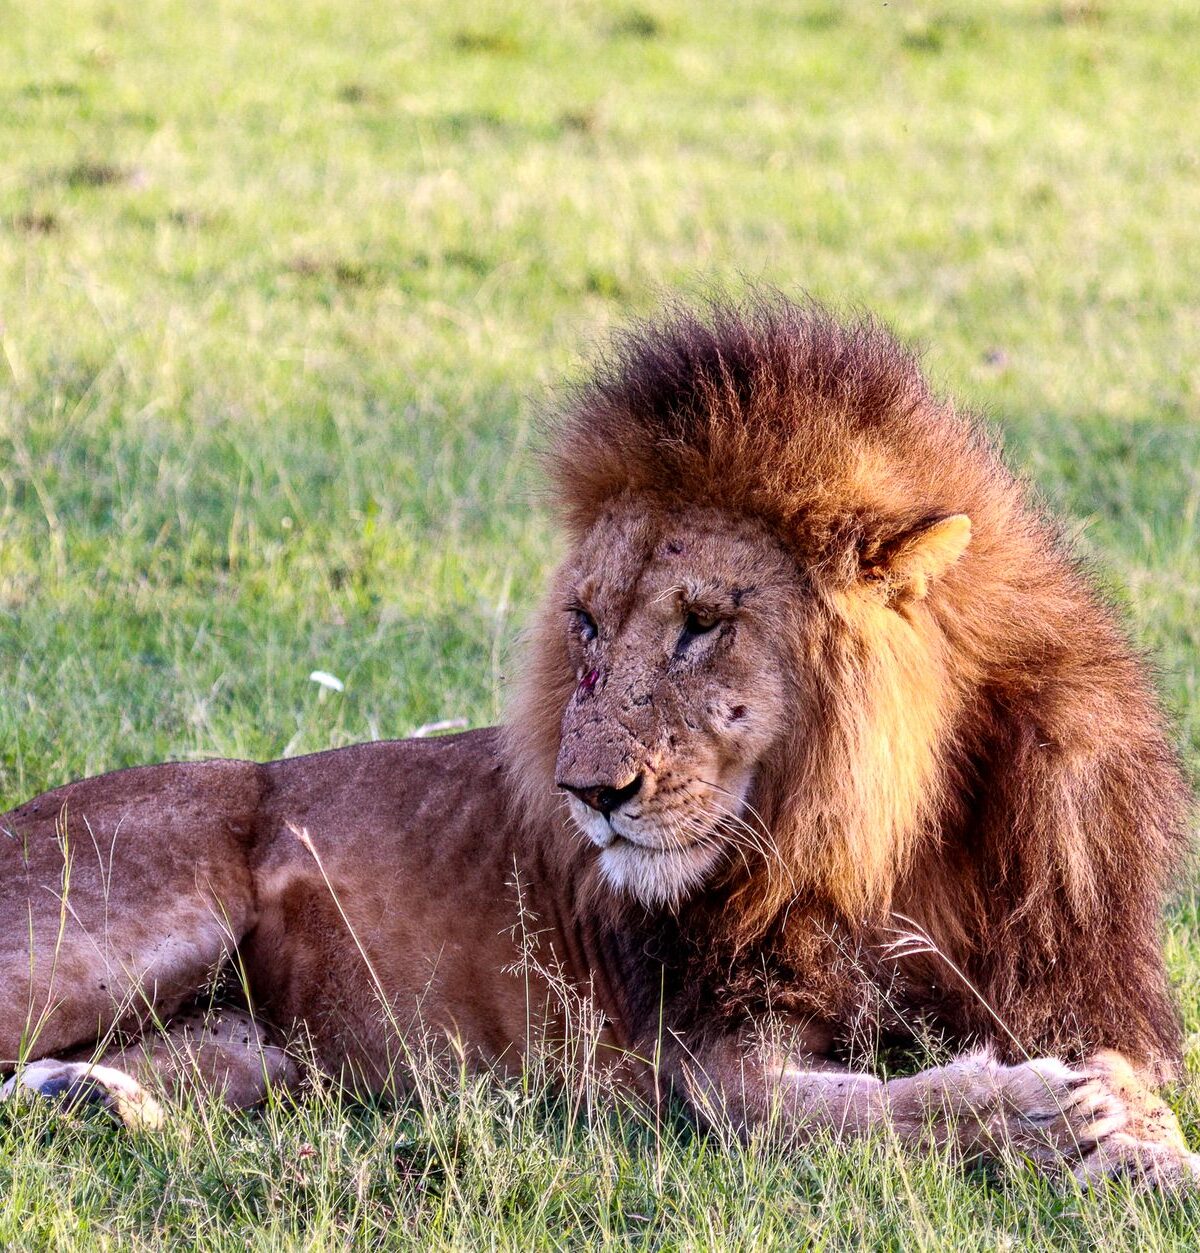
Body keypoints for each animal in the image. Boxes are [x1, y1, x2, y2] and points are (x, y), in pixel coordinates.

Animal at [1, 299, 1197, 1188]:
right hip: (136, 921)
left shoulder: (1074, 985)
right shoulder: (706, 1064)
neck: (880, 840)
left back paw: (93, 1098)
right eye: (582, 622)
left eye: (702, 624)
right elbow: (867, 1110)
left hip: (258, 1052)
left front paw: (1146, 1151)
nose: (588, 791)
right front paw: (1056, 1110)